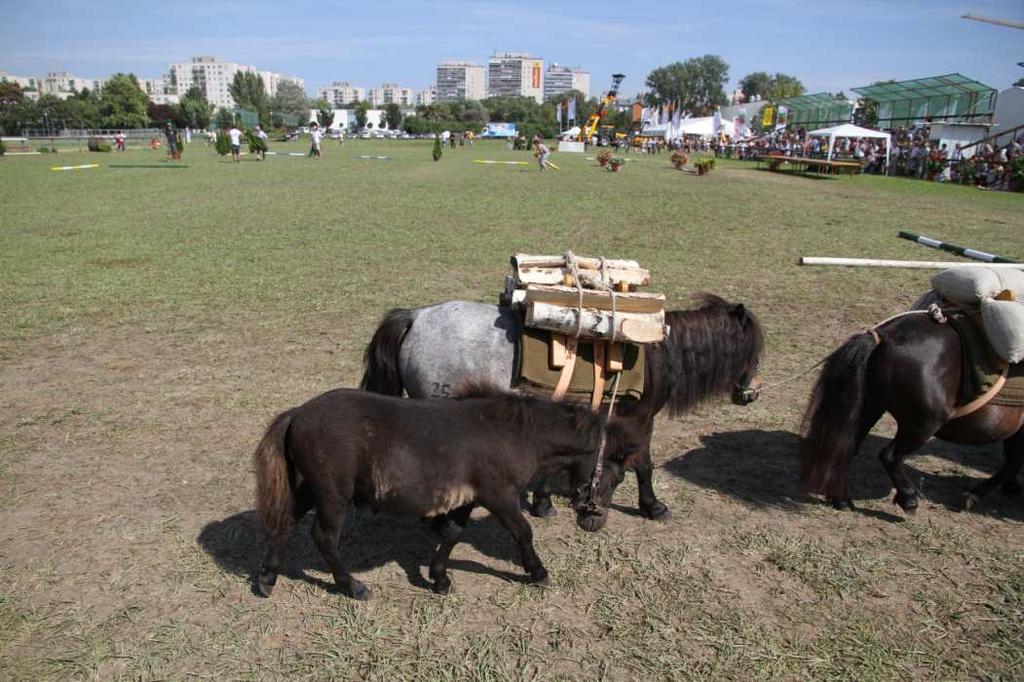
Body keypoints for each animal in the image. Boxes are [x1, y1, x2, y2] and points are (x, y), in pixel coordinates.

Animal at [360, 294, 761, 528]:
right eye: (755, 350)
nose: (751, 394)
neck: (656, 354)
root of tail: (415, 316)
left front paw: (544, 503)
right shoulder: (638, 422)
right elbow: (644, 465)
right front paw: (654, 507)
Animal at [802, 313, 1019, 509]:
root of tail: (884, 336)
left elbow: (1012, 460)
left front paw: (1007, 488)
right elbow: (1013, 462)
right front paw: (976, 495)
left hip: (869, 407)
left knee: (846, 446)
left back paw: (842, 499)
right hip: (924, 423)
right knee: (889, 455)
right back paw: (908, 499)